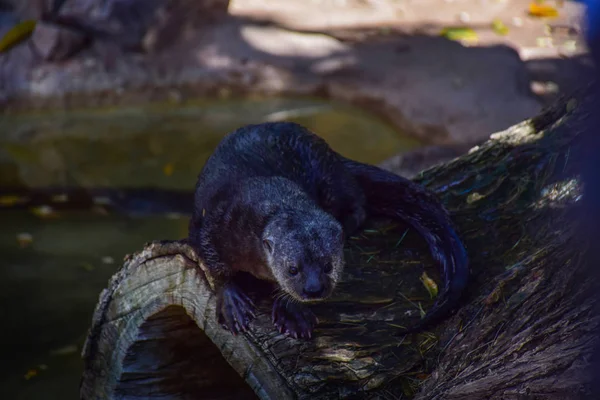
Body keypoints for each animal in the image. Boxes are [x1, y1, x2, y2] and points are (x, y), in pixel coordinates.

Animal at [188, 121, 468, 338]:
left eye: (328, 265)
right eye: (292, 269)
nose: (313, 289)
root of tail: (332, 153)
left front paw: (292, 312)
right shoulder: (215, 223)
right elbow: (212, 263)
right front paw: (232, 305)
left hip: (331, 177)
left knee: (358, 203)